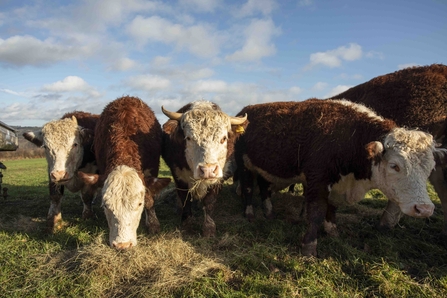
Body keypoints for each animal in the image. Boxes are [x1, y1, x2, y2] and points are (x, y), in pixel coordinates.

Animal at [78, 95, 171, 249]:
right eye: (105, 205)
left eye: (139, 204)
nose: (123, 245)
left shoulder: (152, 170)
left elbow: (150, 199)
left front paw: (153, 224)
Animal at [236, 98, 446, 256]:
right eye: (395, 166)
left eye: (430, 169)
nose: (424, 209)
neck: (350, 137)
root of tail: (247, 110)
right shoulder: (318, 180)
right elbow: (317, 212)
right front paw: (309, 246)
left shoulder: (337, 185)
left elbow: (332, 208)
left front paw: (332, 230)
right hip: (244, 165)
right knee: (248, 188)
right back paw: (250, 213)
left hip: (264, 168)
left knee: (264, 188)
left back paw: (269, 212)